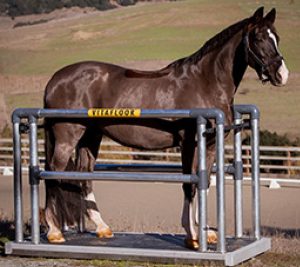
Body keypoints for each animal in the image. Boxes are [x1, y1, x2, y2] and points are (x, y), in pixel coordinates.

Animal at [42, 7, 288, 251]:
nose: (282, 74)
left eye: (276, 37)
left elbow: (204, 182)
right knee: (54, 172)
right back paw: (55, 232)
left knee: (83, 175)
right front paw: (193, 235)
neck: (205, 82)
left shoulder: (209, 145)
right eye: (258, 38)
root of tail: (55, 80)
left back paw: (102, 228)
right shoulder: (189, 143)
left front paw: (203, 233)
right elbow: (189, 184)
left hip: (91, 136)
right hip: (68, 137)